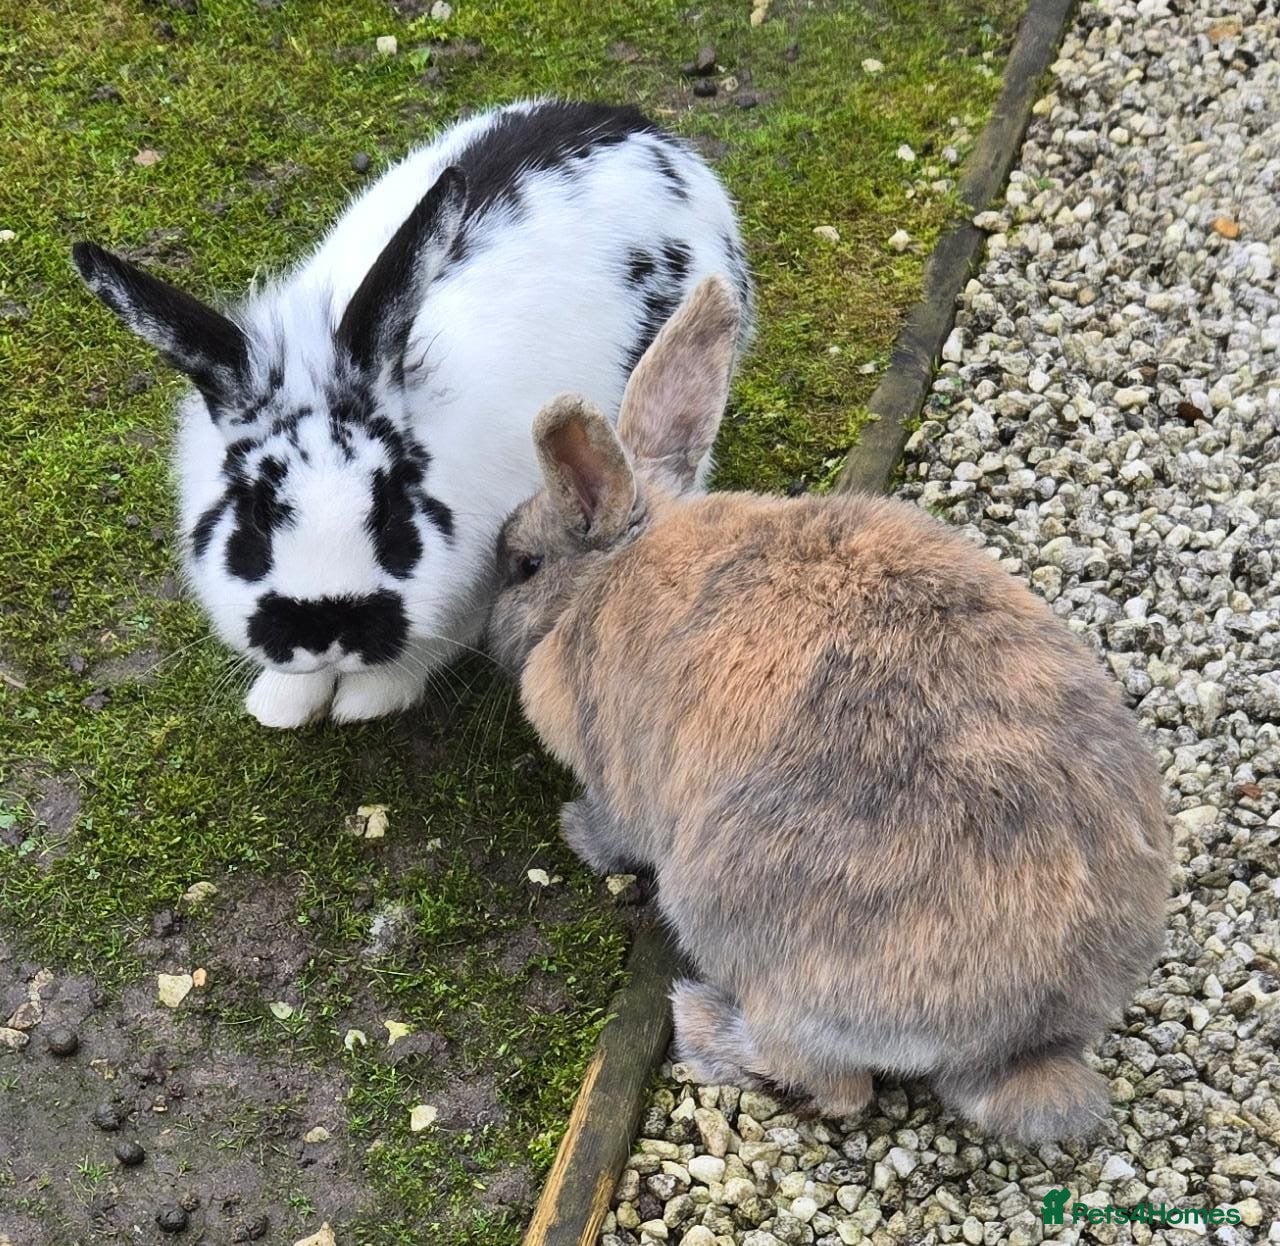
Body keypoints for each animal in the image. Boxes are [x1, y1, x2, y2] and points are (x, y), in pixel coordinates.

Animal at [73, 99, 752, 728]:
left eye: (392, 508)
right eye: (255, 517)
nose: (326, 630)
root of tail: (640, 128)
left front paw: (368, 701)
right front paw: (280, 705)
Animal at [486, 275, 1171, 1144]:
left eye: (523, 565)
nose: (487, 628)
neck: (613, 567)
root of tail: (1026, 1037)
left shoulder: (618, 772)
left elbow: (616, 829)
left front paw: (577, 833)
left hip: (725, 911)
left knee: (835, 1085)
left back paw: (702, 1026)